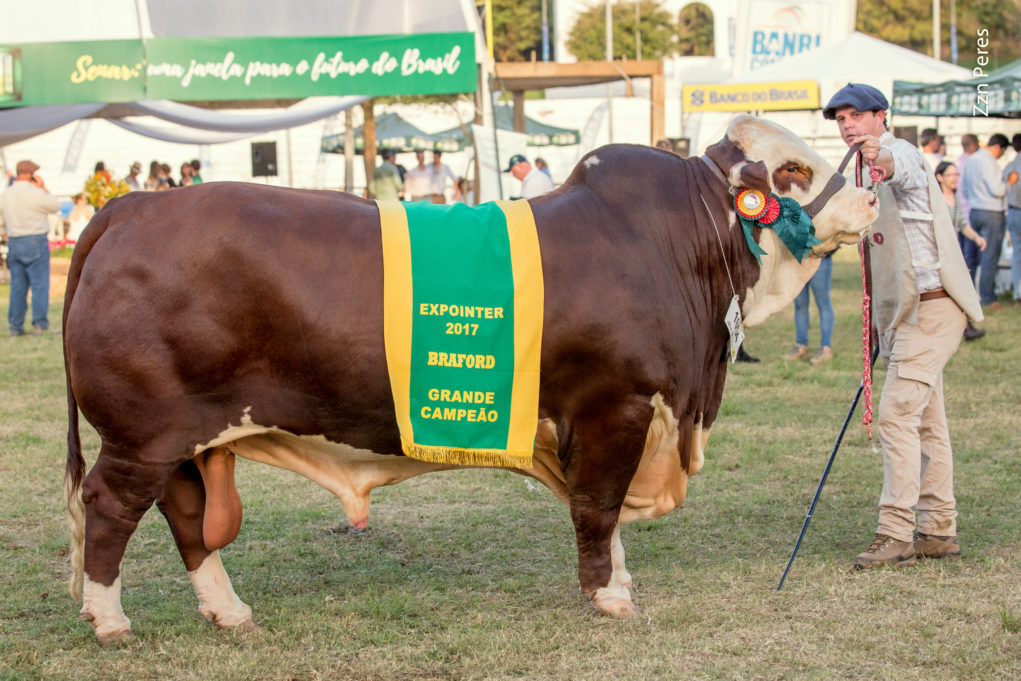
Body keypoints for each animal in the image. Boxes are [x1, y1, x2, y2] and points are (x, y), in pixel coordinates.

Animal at [63, 114, 878, 641]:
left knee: (186, 516)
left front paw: (617, 582)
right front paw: (608, 597)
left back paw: (227, 611)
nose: (872, 192)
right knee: (110, 507)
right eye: (794, 170)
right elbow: (599, 507)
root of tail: (131, 207)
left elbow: (606, 510)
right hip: (142, 434)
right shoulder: (614, 408)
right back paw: (109, 620)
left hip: (184, 438)